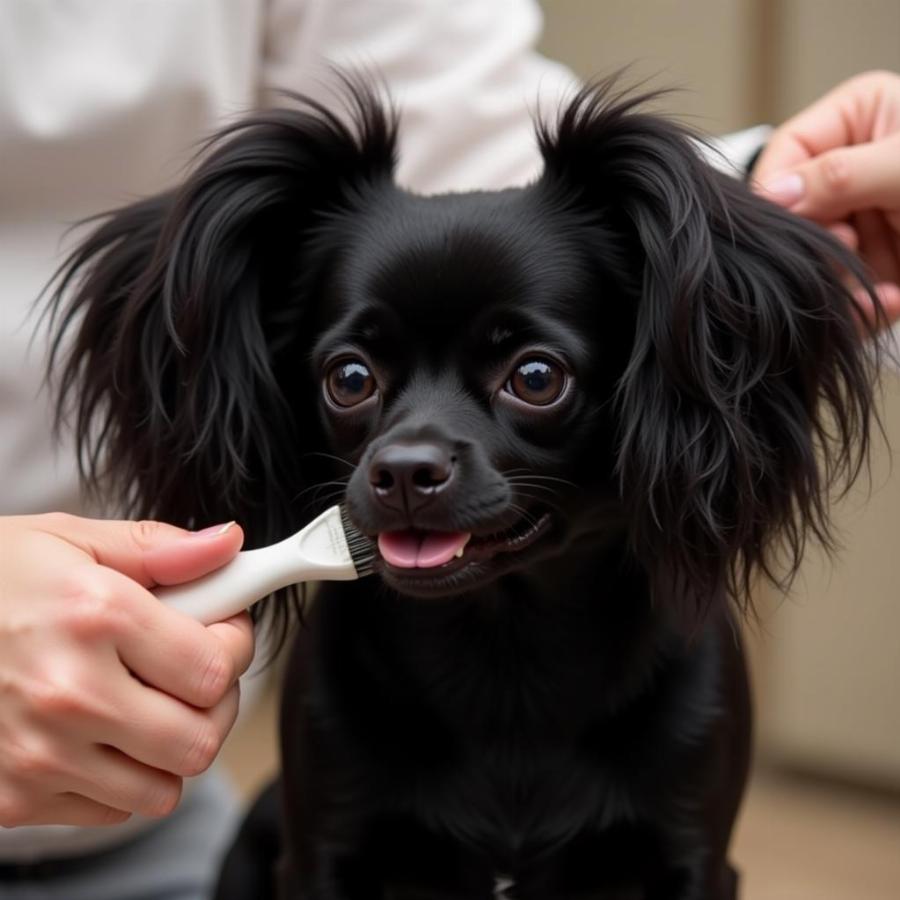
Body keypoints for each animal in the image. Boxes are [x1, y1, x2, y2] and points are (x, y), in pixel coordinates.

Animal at [47, 79, 880, 900]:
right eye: (349, 378)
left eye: (536, 377)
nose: (404, 471)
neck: (503, 647)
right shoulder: (322, 851)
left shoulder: (693, 856)